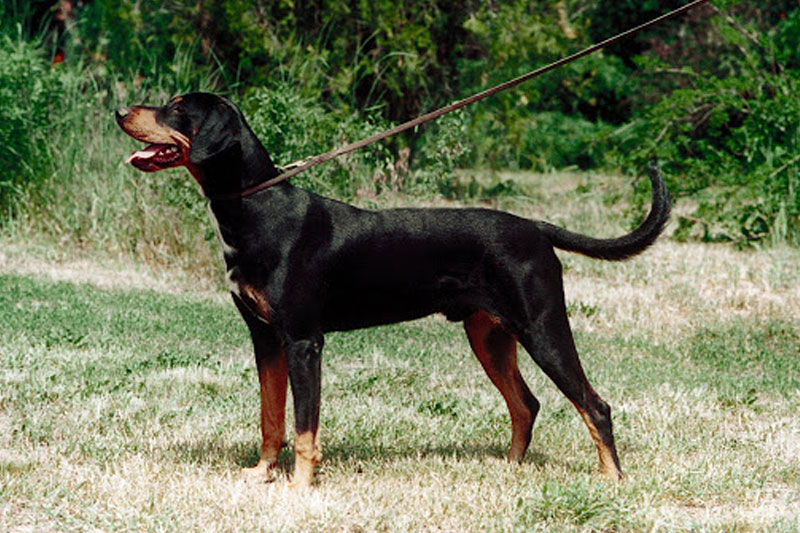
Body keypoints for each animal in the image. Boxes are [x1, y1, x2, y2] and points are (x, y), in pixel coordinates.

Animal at [117, 91, 668, 486]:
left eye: (177, 108)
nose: (121, 111)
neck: (256, 209)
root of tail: (535, 227)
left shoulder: (303, 341)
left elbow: (303, 426)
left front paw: (299, 489)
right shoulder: (266, 338)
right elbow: (270, 417)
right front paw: (261, 474)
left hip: (543, 327)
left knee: (594, 405)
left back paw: (613, 481)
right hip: (489, 336)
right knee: (526, 404)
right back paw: (509, 470)